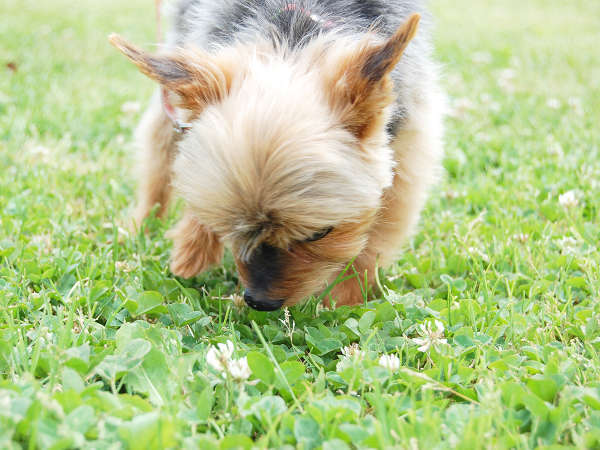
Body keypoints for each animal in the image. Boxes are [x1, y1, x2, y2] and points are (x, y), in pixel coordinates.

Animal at [110, 0, 442, 312]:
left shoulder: (408, 142)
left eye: (319, 234)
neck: (294, 29)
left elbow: (377, 236)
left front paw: (344, 299)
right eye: (229, 224)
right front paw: (192, 254)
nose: (260, 301)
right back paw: (142, 227)